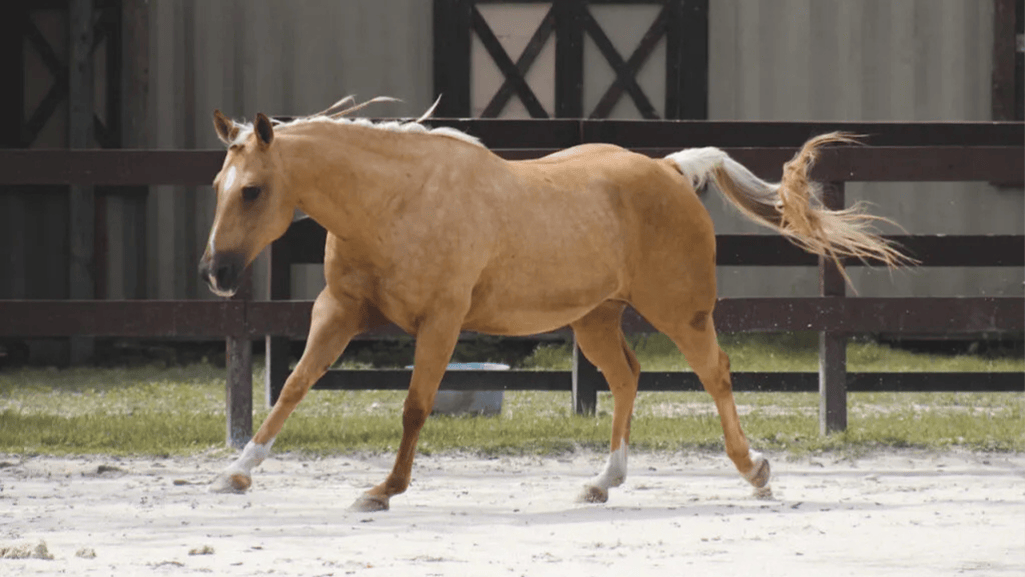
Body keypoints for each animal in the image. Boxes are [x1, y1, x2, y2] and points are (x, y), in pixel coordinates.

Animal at [199, 98, 907, 511]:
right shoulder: (338, 311)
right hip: (594, 318)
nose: (217, 274)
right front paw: (237, 471)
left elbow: (414, 407)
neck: (395, 200)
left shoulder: (441, 322)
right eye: (218, 185)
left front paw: (383, 490)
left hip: (680, 312)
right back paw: (603, 481)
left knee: (715, 374)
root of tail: (670, 169)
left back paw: (754, 471)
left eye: (254, 190)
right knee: (627, 376)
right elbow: (292, 386)